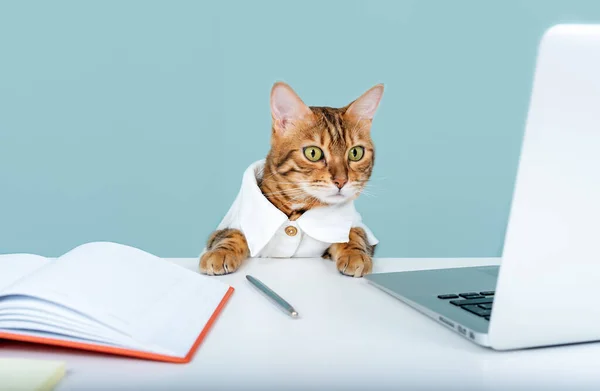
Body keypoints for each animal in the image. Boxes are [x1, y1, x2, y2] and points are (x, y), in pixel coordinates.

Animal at [199, 82, 382, 278]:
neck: (297, 208)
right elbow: (232, 234)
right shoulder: (227, 229)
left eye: (356, 153)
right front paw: (220, 252)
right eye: (313, 153)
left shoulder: (357, 230)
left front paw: (355, 253)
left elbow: (354, 234)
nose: (341, 181)